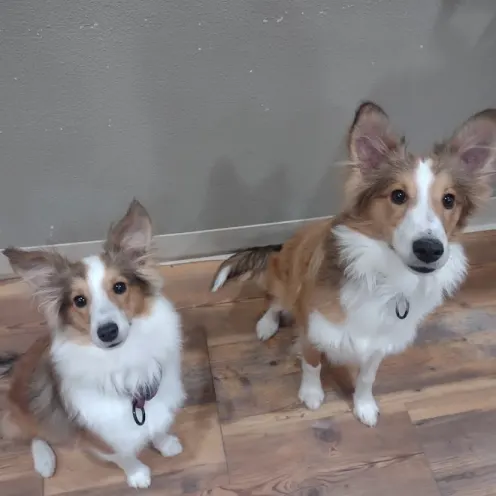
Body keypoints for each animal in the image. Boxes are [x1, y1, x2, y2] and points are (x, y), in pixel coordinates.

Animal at [212, 101, 496, 426]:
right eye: (398, 195)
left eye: (449, 200)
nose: (429, 249)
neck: (387, 279)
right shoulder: (313, 330)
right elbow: (312, 365)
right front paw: (312, 395)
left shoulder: (378, 344)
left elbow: (366, 378)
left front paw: (364, 406)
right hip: (282, 276)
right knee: (274, 301)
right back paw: (266, 324)